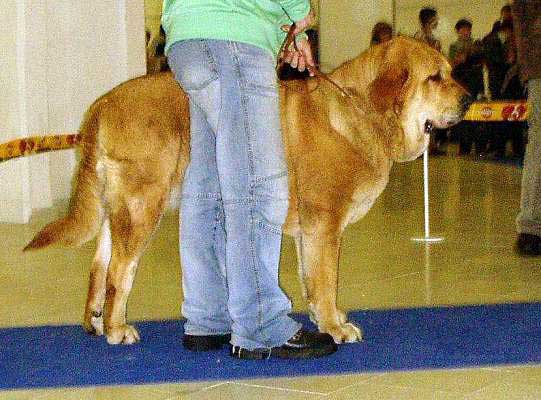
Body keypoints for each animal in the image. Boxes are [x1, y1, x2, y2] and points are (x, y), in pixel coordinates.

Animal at [24, 37, 468, 344]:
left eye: (449, 71)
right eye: (435, 77)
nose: (469, 99)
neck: (362, 113)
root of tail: (102, 105)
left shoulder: (308, 234)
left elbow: (312, 282)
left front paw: (326, 320)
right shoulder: (325, 226)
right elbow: (326, 281)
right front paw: (334, 328)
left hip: (114, 210)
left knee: (99, 268)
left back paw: (96, 323)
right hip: (141, 206)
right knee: (120, 271)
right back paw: (119, 330)